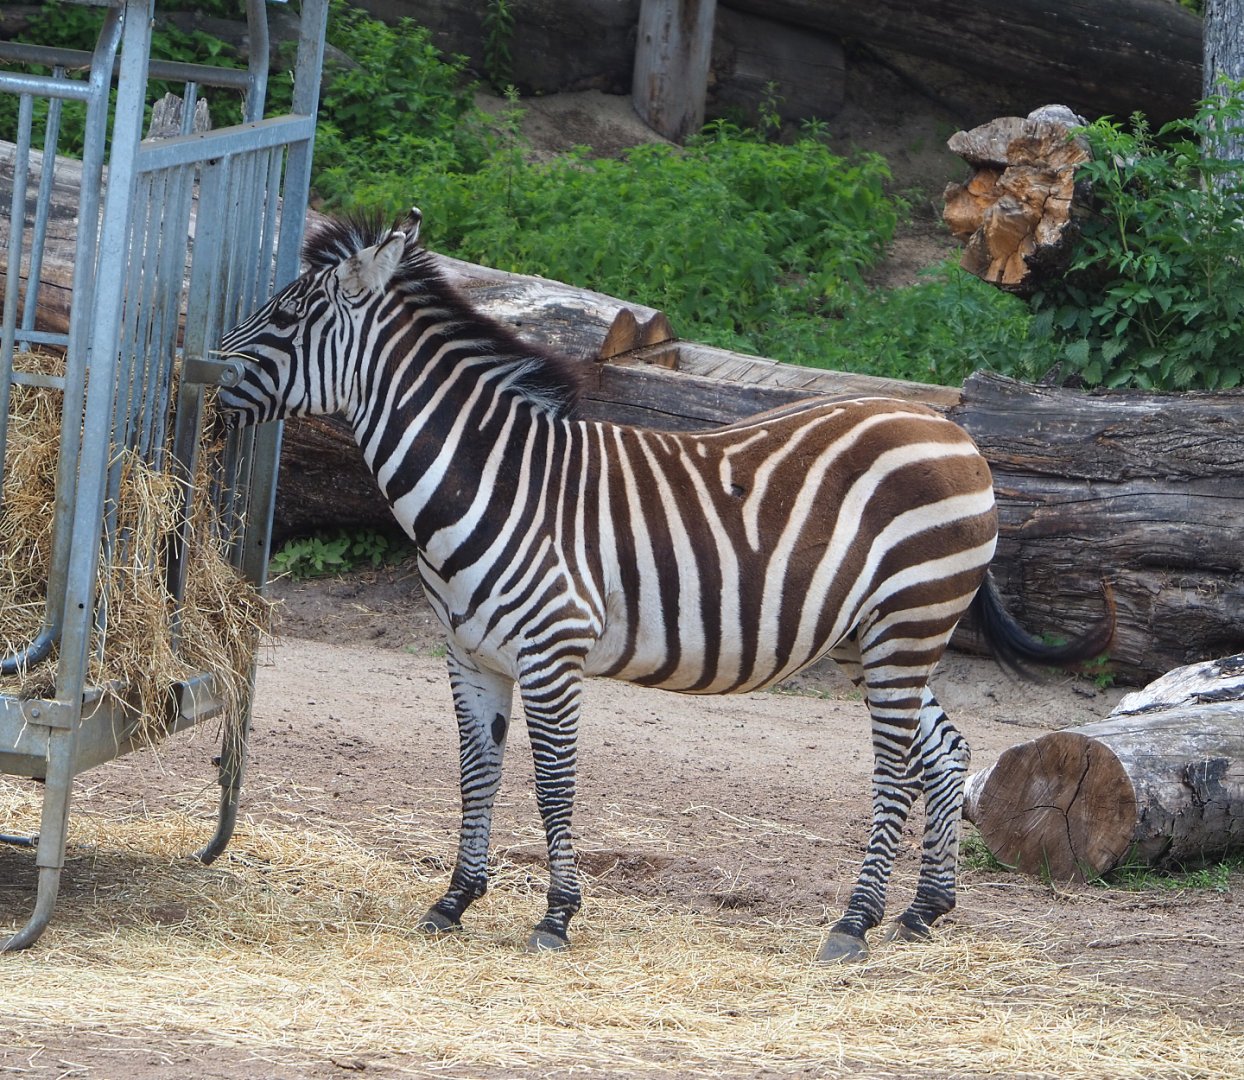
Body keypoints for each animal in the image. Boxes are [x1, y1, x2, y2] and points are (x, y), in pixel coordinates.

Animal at [217, 209, 1111, 962]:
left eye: (286, 318)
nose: (202, 376)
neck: (490, 478)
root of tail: (949, 428)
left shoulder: (551, 651)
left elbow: (552, 783)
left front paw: (556, 917)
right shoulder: (469, 656)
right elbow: (477, 773)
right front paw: (454, 901)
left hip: (909, 620)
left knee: (894, 767)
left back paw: (853, 925)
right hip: (875, 636)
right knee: (944, 749)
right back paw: (924, 912)